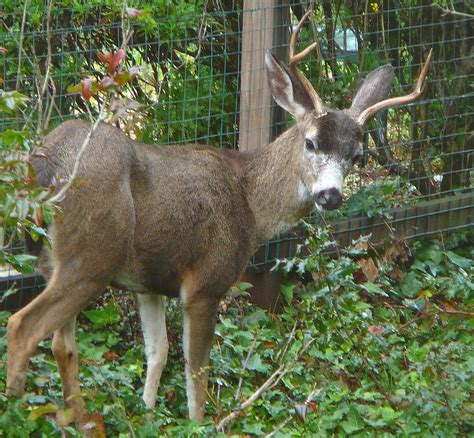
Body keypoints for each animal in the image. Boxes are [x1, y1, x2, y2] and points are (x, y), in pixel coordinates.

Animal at [4, 11, 434, 424]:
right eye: (311, 143)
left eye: (357, 156)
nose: (330, 195)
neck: (250, 203)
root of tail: (45, 162)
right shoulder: (206, 282)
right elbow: (197, 373)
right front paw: (199, 423)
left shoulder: (148, 281)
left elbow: (157, 353)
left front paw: (147, 413)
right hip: (94, 252)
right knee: (22, 327)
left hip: (57, 260)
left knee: (62, 344)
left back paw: (76, 417)